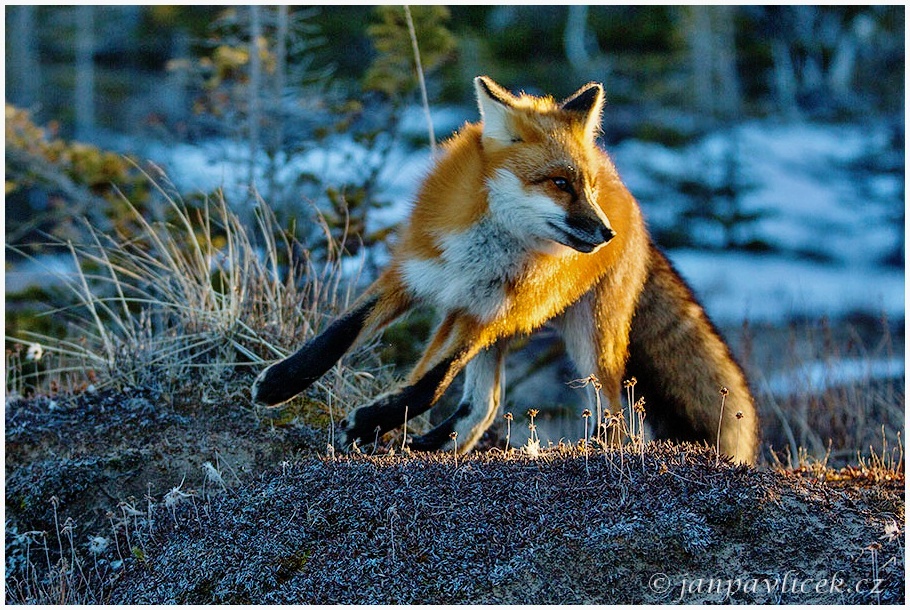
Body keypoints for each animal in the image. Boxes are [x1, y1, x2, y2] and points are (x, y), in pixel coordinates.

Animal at [251, 78, 764, 464]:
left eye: (586, 187)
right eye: (560, 183)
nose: (605, 232)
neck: (480, 253)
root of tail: (631, 203)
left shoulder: (483, 313)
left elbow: (428, 386)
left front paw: (364, 425)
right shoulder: (413, 277)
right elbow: (338, 335)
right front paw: (279, 384)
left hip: (586, 336)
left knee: (612, 414)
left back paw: (588, 453)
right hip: (493, 328)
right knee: (486, 403)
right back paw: (432, 446)